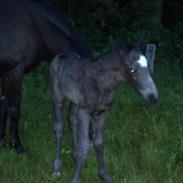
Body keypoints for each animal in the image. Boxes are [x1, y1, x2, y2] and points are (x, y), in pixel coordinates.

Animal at [0, 0, 91, 153]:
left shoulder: (5, 73)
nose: (92, 137)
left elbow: (3, 106)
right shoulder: (14, 72)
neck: (35, 26)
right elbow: (14, 110)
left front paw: (1, 140)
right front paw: (17, 145)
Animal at [49, 43, 158, 183]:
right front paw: (76, 179)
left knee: (72, 121)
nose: (153, 98)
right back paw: (57, 167)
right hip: (57, 97)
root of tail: (60, 55)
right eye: (132, 70)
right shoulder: (84, 112)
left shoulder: (102, 112)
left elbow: (99, 143)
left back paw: (74, 155)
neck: (101, 83)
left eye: (148, 66)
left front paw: (103, 175)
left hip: (74, 102)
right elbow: (84, 147)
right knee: (59, 127)